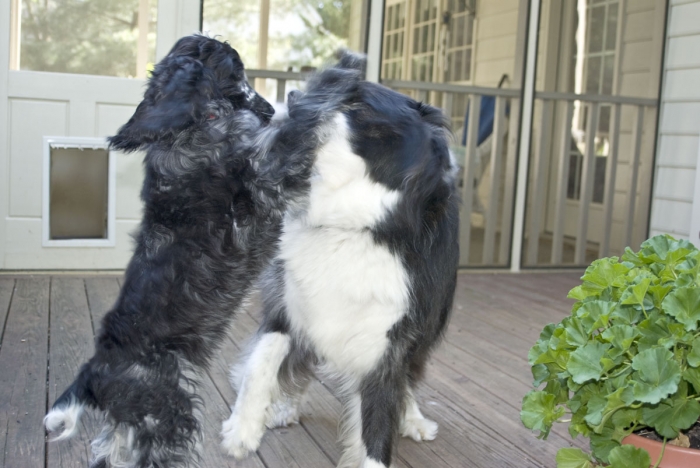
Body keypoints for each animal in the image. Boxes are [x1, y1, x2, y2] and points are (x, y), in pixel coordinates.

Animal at [43, 36, 360, 468]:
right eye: (238, 72)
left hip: (129, 427)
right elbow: (299, 120)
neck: (196, 127)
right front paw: (343, 68)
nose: (265, 108)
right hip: (166, 415)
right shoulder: (267, 174)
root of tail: (91, 374)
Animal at [220, 54, 460, 464]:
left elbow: (378, 430)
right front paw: (243, 428)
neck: (353, 226)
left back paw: (413, 418)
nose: (294, 96)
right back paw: (284, 407)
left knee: (408, 381)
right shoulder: (284, 308)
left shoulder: (388, 345)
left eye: (358, 107)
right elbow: (260, 365)